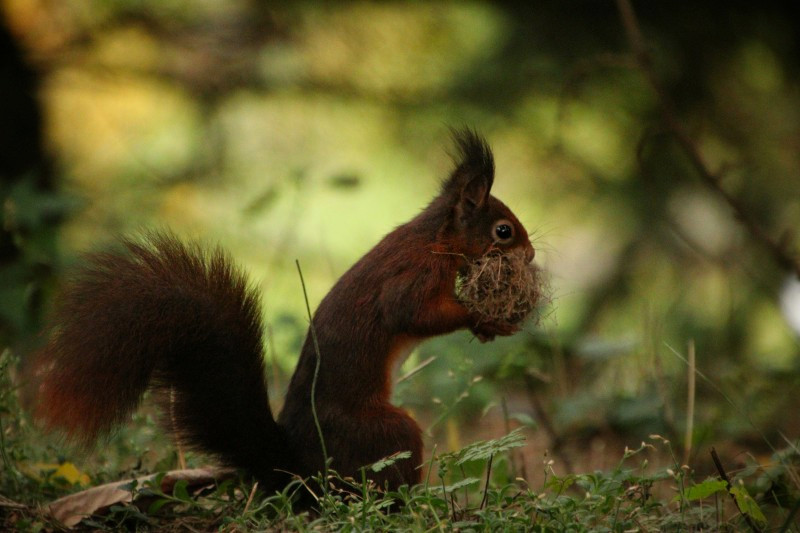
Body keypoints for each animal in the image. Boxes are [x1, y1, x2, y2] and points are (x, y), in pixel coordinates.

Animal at [28, 128, 536, 490]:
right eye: (504, 231)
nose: (531, 256)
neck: (434, 239)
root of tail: (299, 469)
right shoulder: (413, 274)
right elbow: (409, 313)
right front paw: (484, 316)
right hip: (388, 434)